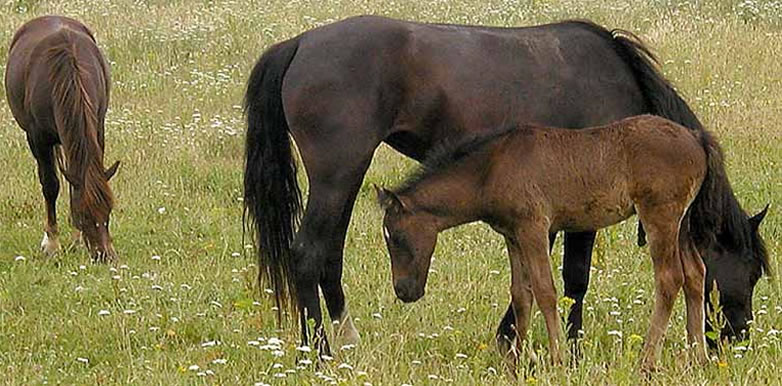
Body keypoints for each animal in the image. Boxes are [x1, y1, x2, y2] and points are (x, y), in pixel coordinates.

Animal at [5, 15, 121, 262]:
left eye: (109, 210)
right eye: (84, 215)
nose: (104, 256)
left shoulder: (97, 128)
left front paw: (76, 240)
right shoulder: (38, 138)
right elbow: (50, 185)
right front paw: (52, 244)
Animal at [380, 115, 772, 370]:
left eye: (395, 237)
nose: (404, 291)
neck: (491, 168)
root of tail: (695, 137)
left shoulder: (535, 229)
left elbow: (545, 290)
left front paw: (557, 358)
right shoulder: (513, 235)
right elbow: (520, 294)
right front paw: (519, 360)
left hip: (660, 217)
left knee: (669, 279)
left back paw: (648, 360)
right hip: (683, 223)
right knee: (696, 274)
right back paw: (697, 357)